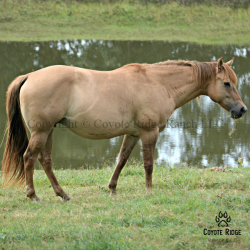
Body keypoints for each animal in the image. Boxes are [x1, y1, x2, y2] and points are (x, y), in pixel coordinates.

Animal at [0, 57, 247, 201]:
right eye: (226, 83)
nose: (242, 109)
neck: (159, 83)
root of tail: (30, 76)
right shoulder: (149, 132)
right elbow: (148, 164)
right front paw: (149, 191)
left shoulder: (133, 134)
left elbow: (121, 160)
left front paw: (112, 188)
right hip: (41, 132)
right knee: (29, 158)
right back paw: (33, 195)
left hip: (48, 131)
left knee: (45, 160)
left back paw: (63, 194)